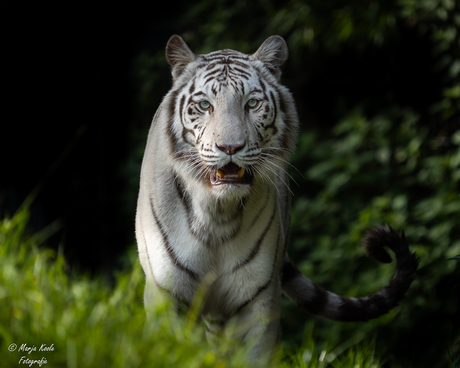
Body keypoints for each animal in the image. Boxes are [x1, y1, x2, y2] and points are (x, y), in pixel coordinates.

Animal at [135, 36, 418, 360]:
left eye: (252, 103)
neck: (216, 213)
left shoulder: (258, 297)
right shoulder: (166, 293)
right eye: (205, 105)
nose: (230, 147)